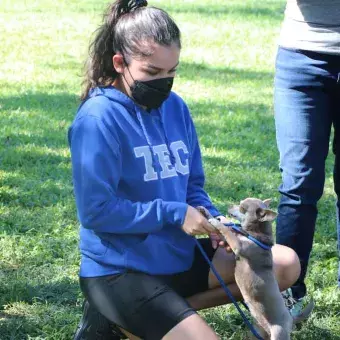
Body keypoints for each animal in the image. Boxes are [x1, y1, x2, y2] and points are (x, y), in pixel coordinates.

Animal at [199, 198, 292, 340]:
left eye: (242, 208)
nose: (229, 204)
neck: (253, 235)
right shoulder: (231, 242)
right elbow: (226, 231)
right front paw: (207, 212)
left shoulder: (238, 245)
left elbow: (226, 230)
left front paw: (216, 221)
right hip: (257, 330)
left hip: (278, 334)